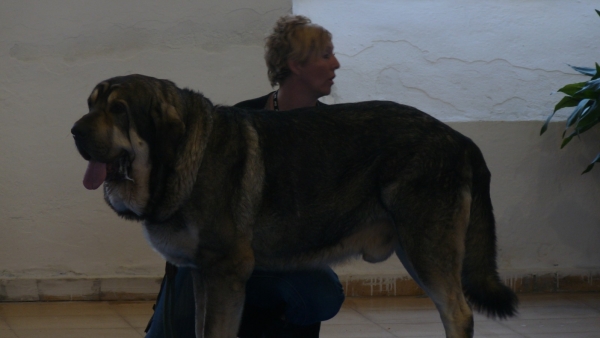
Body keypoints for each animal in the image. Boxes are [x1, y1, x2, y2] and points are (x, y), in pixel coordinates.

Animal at [72, 74, 516, 338]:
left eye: (118, 110)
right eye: (91, 104)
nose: (74, 130)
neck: (184, 156)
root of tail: (460, 139)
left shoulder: (226, 273)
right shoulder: (204, 275)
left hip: (426, 250)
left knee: (458, 313)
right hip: (415, 250)